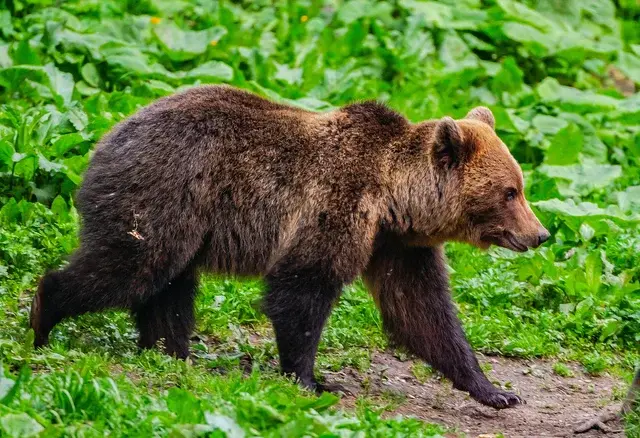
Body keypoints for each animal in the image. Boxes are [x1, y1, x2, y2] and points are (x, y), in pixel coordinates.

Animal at [30, 85, 549, 409]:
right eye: (510, 192)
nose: (541, 234)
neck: (394, 198)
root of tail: (103, 137)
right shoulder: (334, 208)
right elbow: (301, 291)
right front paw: (310, 379)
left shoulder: (396, 245)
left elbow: (422, 310)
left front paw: (494, 390)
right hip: (163, 194)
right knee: (130, 266)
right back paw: (43, 318)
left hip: (186, 223)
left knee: (170, 288)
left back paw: (172, 351)